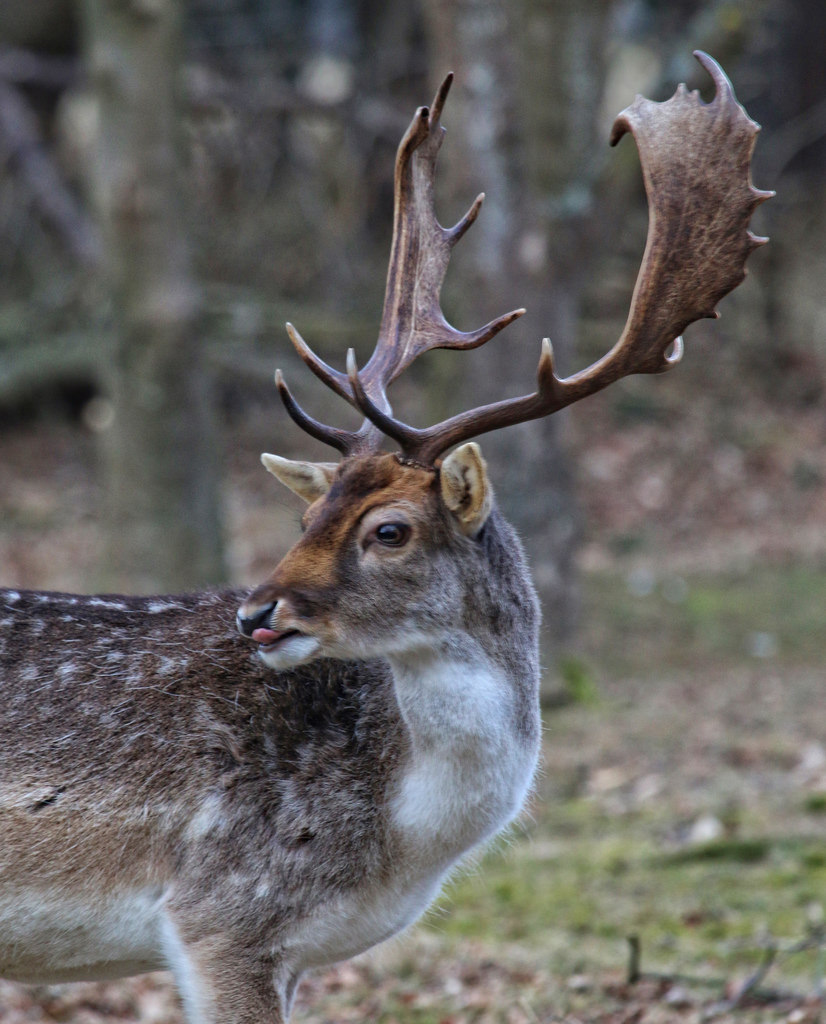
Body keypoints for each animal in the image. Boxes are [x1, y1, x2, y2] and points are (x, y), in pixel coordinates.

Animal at [3, 56, 773, 1024]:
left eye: (390, 529)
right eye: (307, 516)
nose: (258, 614)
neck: (402, 840)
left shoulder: (279, 947)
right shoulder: (221, 911)